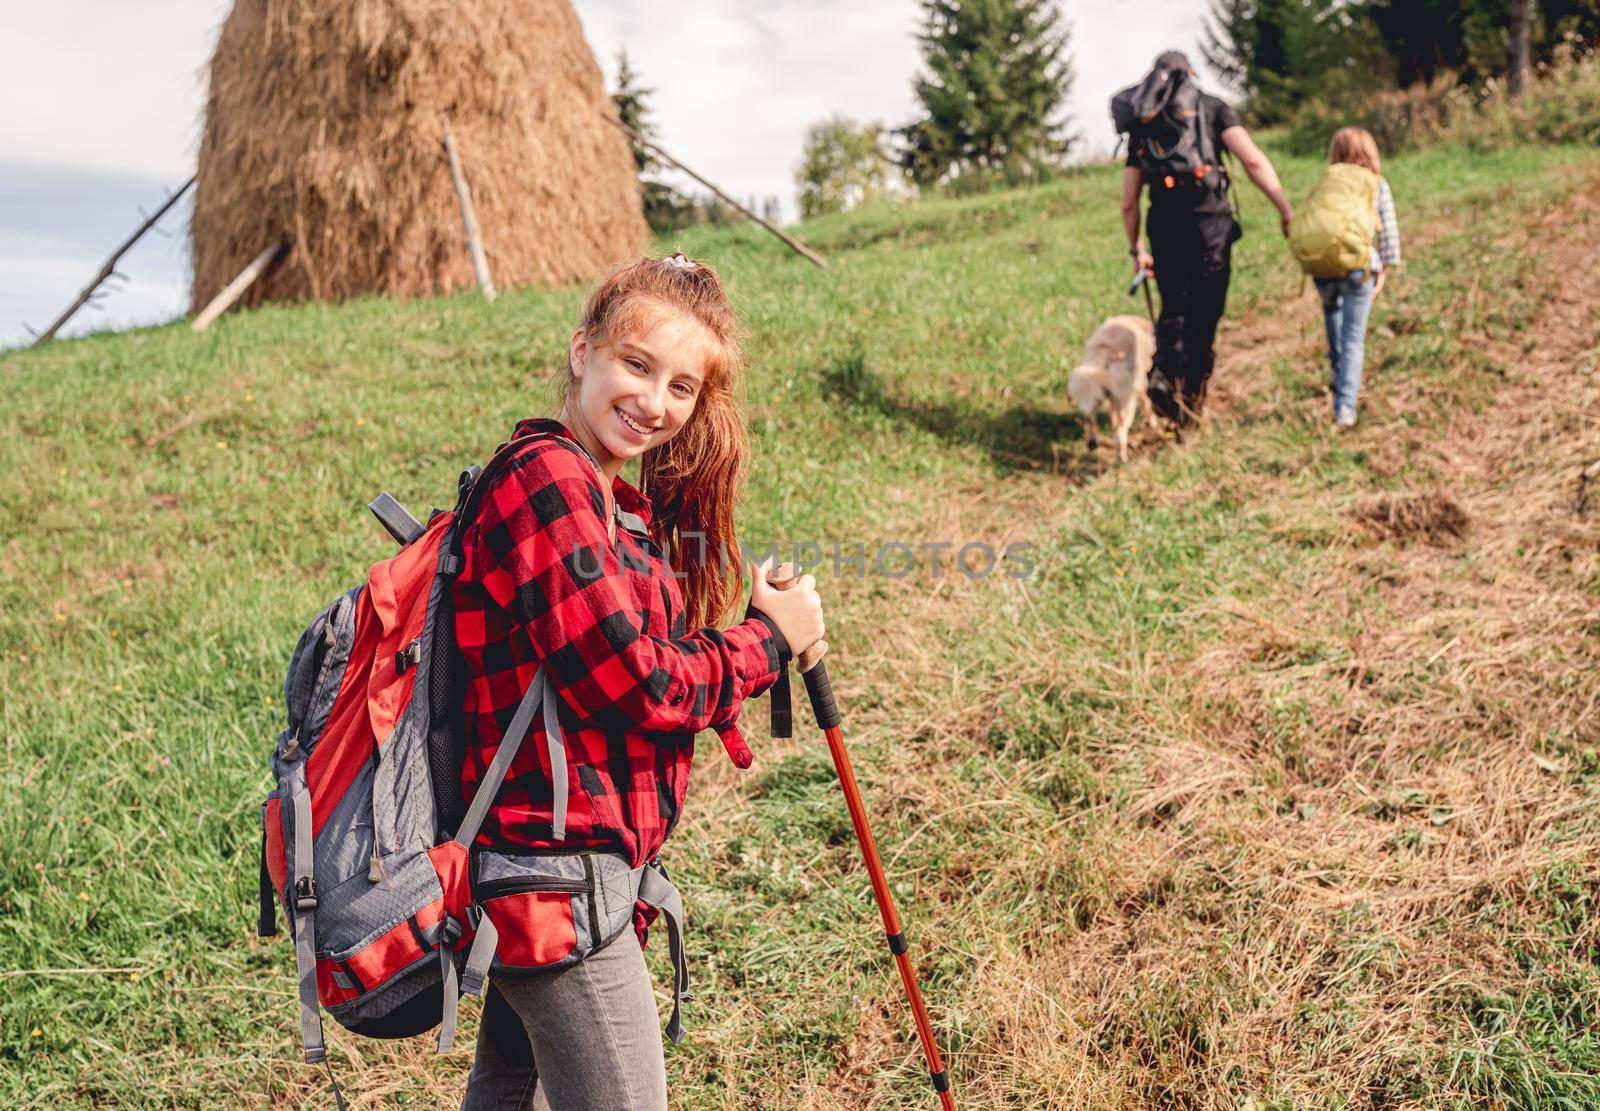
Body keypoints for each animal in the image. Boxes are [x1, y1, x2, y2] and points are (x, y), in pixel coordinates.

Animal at [1068, 315, 1158, 464]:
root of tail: (1104, 356)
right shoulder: (1138, 384)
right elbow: (1146, 402)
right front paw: (1153, 422)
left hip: (1091, 396)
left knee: (1090, 418)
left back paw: (1092, 442)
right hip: (1125, 399)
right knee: (1120, 429)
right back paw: (1122, 457)